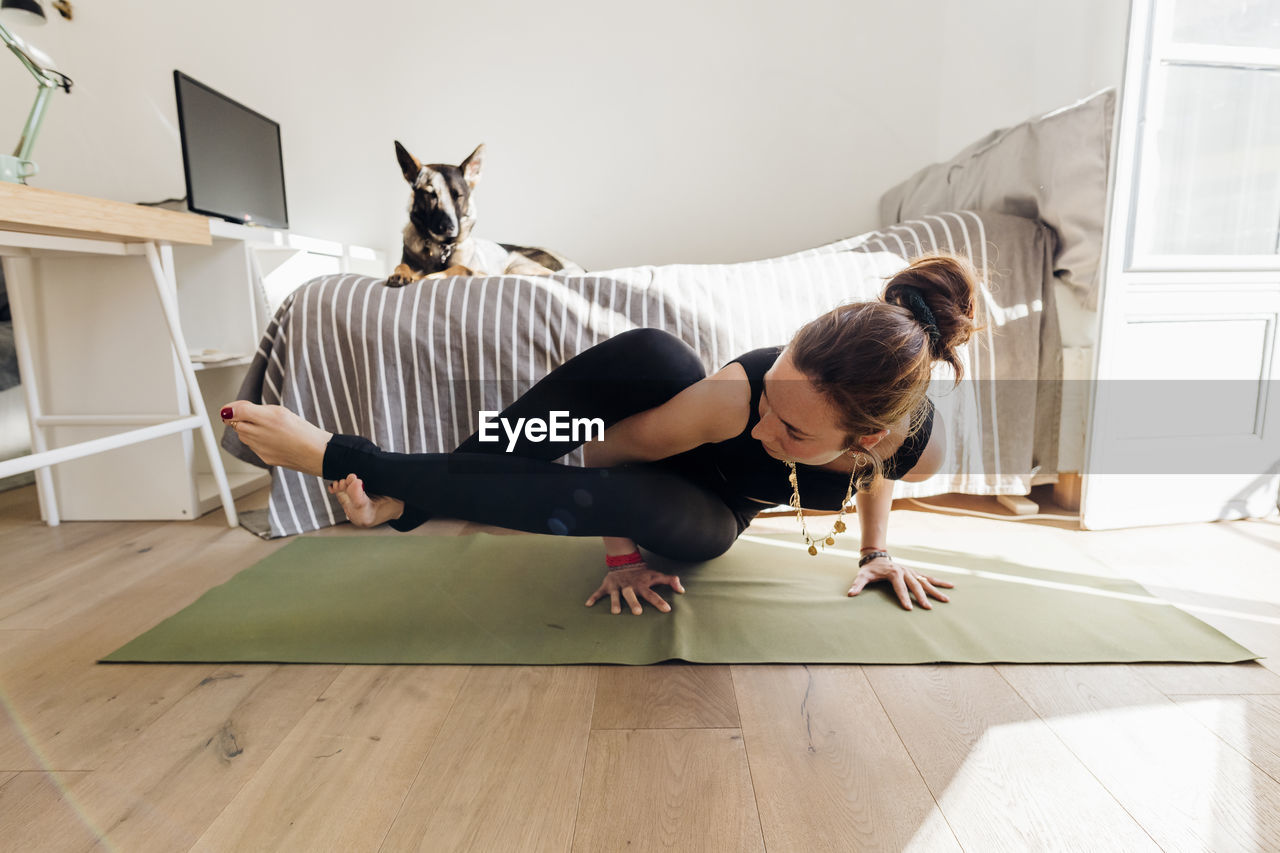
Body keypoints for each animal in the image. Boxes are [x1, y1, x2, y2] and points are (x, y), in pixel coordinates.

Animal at [384, 139, 586, 285]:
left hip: (519, 267)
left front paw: (431, 276)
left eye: (458, 195)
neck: (441, 249)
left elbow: (458, 269)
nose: (449, 228)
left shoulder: (476, 270)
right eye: (430, 194)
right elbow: (401, 265)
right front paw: (401, 274)